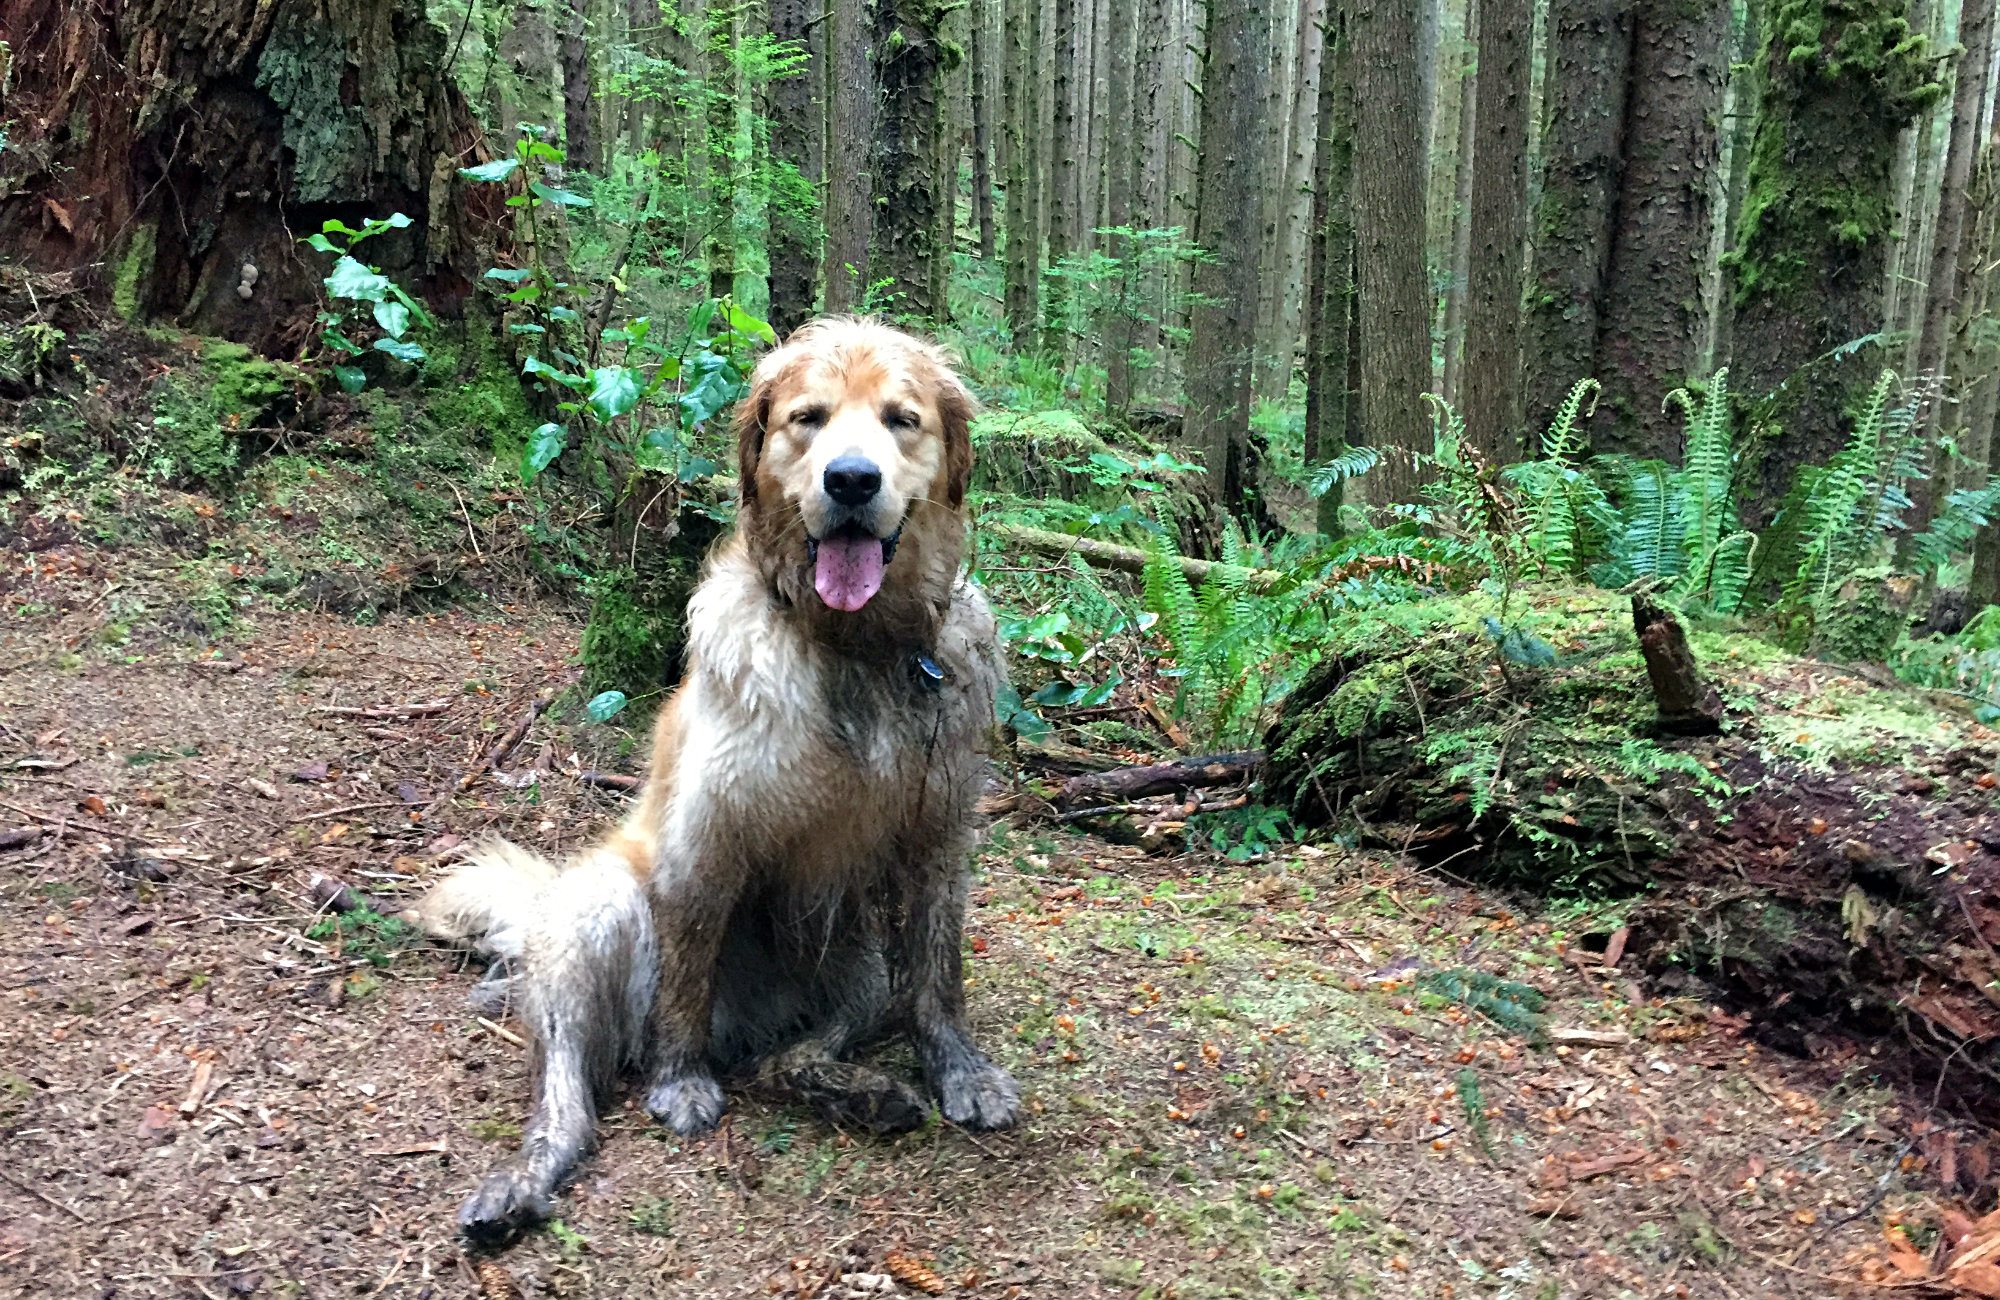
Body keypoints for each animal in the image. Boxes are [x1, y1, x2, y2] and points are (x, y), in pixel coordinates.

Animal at [412, 314, 1024, 1232]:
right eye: (808, 418)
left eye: (901, 420)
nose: (851, 480)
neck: (854, 648)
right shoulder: (705, 841)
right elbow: (686, 980)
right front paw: (680, 1082)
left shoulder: (938, 835)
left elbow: (938, 976)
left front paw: (959, 1070)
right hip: (598, 910)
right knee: (570, 1088)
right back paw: (525, 1176)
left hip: (855, 969)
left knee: (789, 1057)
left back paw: (854, 1090)